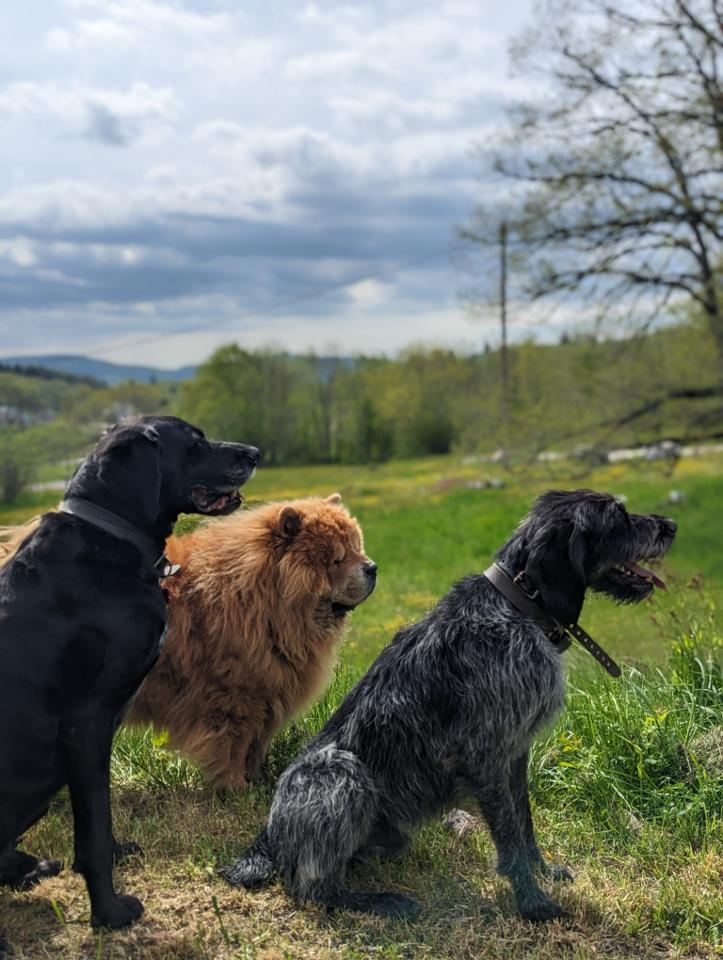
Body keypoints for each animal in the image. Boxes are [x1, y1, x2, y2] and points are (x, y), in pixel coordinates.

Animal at [0, 412, 258, 936]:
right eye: (195, 441)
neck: (113, 534)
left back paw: (29, 867)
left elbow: (101, 816)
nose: (256, 453)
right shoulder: (87, 723)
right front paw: (111, 914)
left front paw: (119, 857)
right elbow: (93, 832)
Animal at [127, 496, 376, 788]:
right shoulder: (233, 697)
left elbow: (255, 745)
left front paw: (257, 780)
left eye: (357, 547)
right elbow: (232, 745)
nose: (372, 568)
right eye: (337, 559)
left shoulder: (267, 693)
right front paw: (236, 787)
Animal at [222, 496, 680, 924]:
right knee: (311, 887)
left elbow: (524, 823)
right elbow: (509, 838)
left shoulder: (515, 753)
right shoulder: (483, 756)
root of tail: (268, 834)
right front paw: (532, 903)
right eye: (617, 515)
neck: (517, 606)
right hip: (343, 773)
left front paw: (542, 872)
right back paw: (381, 901)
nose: (672, 526)